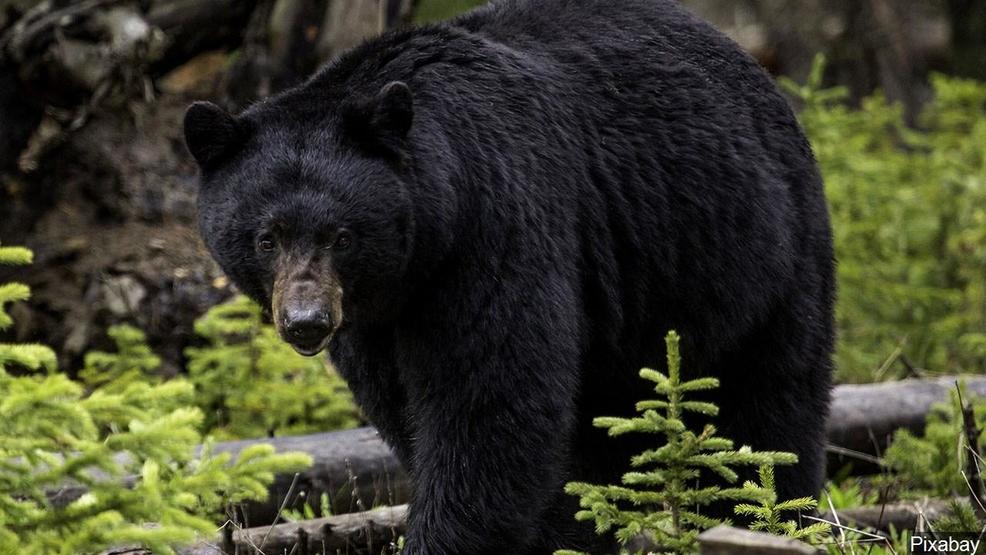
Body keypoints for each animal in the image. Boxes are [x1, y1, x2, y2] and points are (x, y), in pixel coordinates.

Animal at [183, 0, 835, 552]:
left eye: (341, 236)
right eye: (266, 238)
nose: (306, 322)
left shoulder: (496, 225)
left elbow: (491, 403)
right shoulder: (376, 319)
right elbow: (405, 408)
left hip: (757, 254)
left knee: (770, 407)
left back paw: (770, 516)